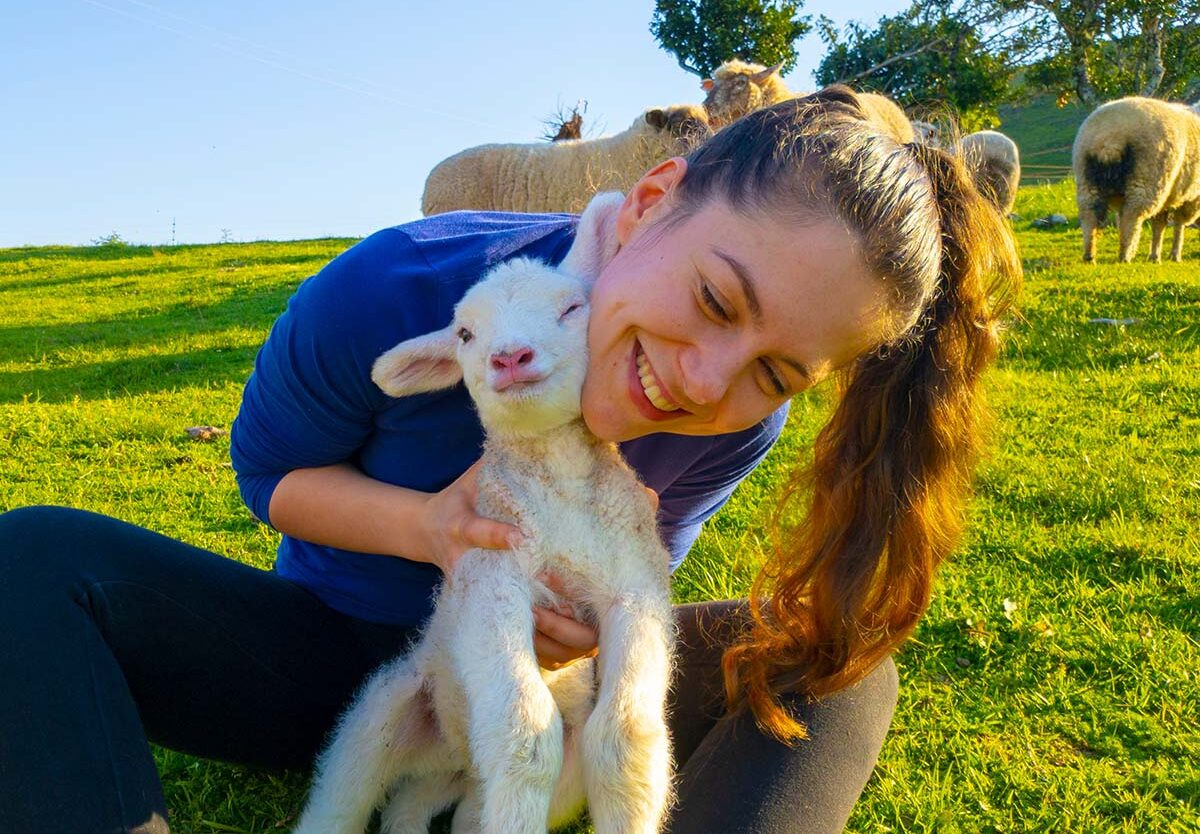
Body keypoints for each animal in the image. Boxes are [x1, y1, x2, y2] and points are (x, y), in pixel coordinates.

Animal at [291, 193, 675, 834]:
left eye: (572, 308)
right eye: (466, 333)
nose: (509, 356)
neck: (562, 497)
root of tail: (452, 758)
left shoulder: (636, 584)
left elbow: (626, 740)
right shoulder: (491, 574)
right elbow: (524, 735)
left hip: (471, 782)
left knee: (426, 806)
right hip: (387, 707)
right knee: (344, 794)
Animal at [1072, 95, 1200, 262]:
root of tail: (1109, 139)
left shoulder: (1170, 197)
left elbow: (1159, 225)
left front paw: (1155, 256)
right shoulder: (1189, 197)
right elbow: (1177, 224)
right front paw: (1174, 255)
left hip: (1086, 178)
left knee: (1090, 214)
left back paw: (1090, 255)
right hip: (1147, 180)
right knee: (1132, 216)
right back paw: (1125, 254)